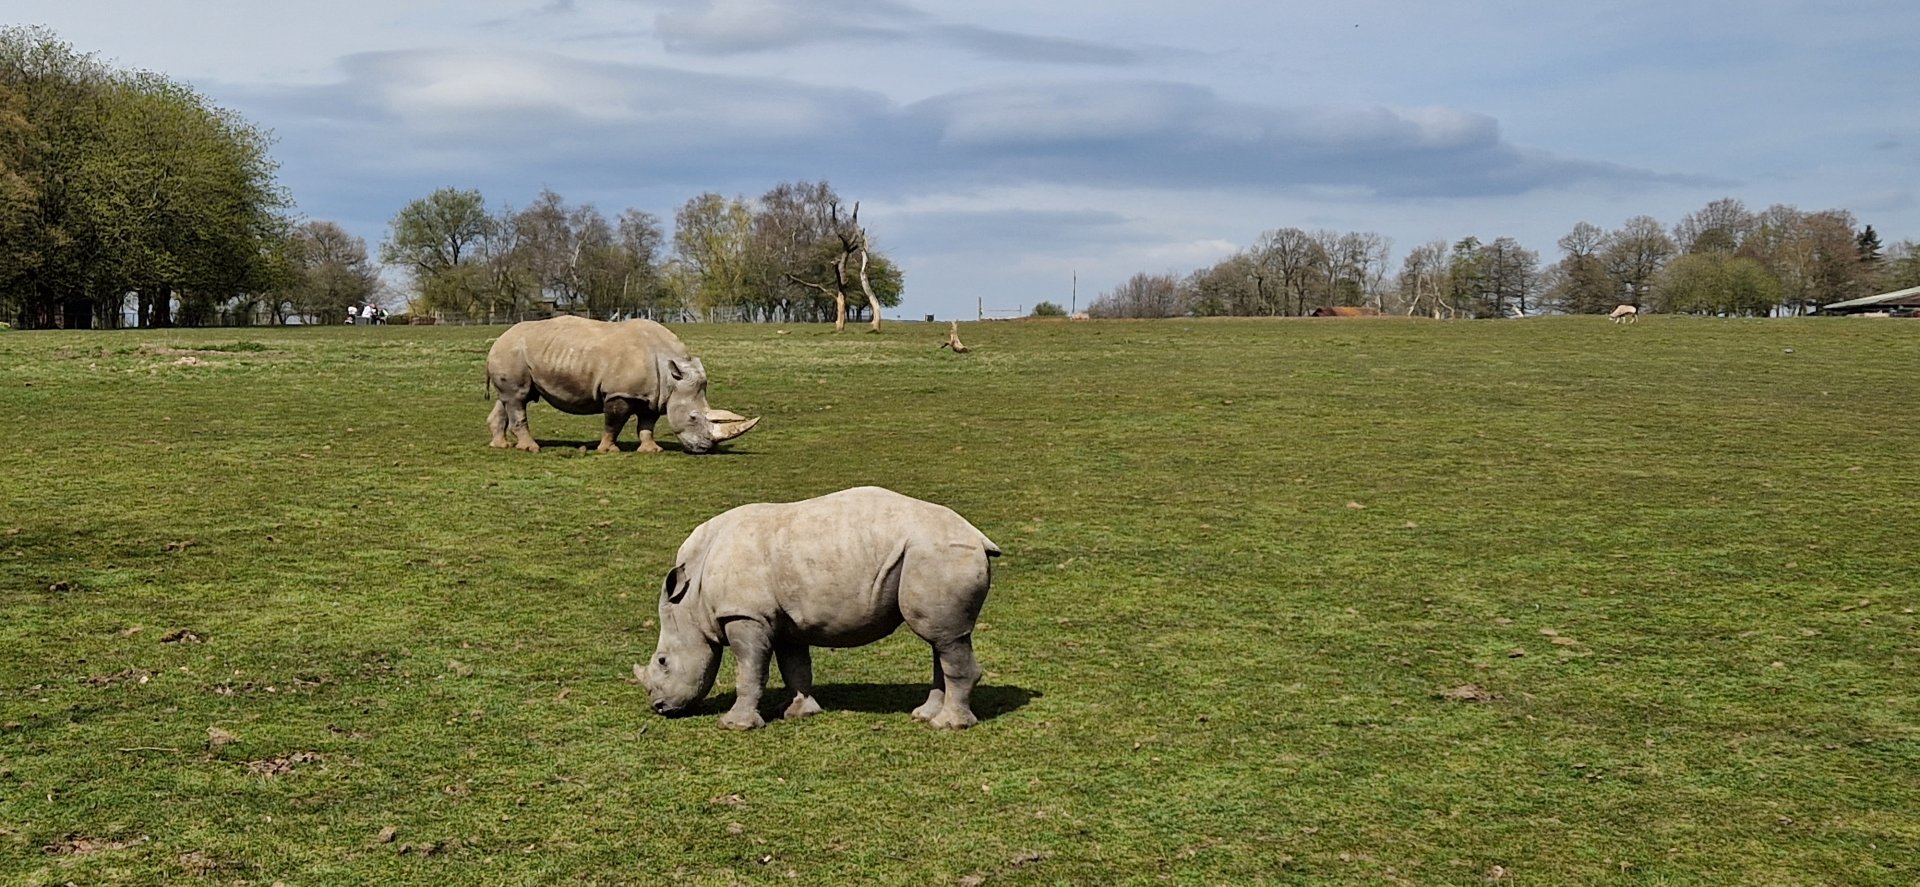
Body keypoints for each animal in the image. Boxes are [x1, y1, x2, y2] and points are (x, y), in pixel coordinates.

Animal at [485, 316, 759, 455]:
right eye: (692, 417)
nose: (705, 448)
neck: (672, 377)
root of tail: (498, 339)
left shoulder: (654, 396)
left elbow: (647, 424)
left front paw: (651, 450)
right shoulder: (621, 393)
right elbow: (613, 423)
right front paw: (609, 450)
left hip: (514, 354)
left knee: (508, 398)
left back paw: (501, 445)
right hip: (511, 351)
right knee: (517, 399)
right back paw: (531, 448)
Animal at [639, 486, 1002, 730]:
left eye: (662, 661)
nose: (659, 706)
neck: (691, 598)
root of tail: (978, 537)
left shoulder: (745, 615)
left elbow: (749, 670)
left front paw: (735, 725)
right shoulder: (783, 620)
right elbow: (795, 666)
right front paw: (798, 712)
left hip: (940, 553)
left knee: (944, 638)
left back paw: (948, 725)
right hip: (932, 554)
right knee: (941, 638)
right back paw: (925, 715)